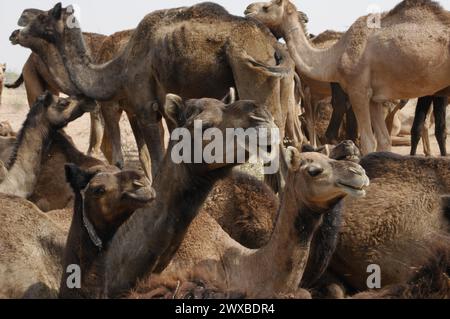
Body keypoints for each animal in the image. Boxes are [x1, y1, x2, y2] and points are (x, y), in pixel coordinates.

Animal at [14, 1, 302, 185]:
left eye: (43, 17)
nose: (16, 31)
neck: (118, 68)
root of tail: (273, 45)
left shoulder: (144, 108)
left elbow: (154, 156)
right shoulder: (170, 109)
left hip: (250, 72)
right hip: (279, 86)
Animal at [246, 0, 450, 155]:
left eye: (266, 7)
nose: (247, 10)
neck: (334, 56)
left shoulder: (357, 91)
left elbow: (367, 141)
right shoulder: (375, 99)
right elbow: (383, 141)